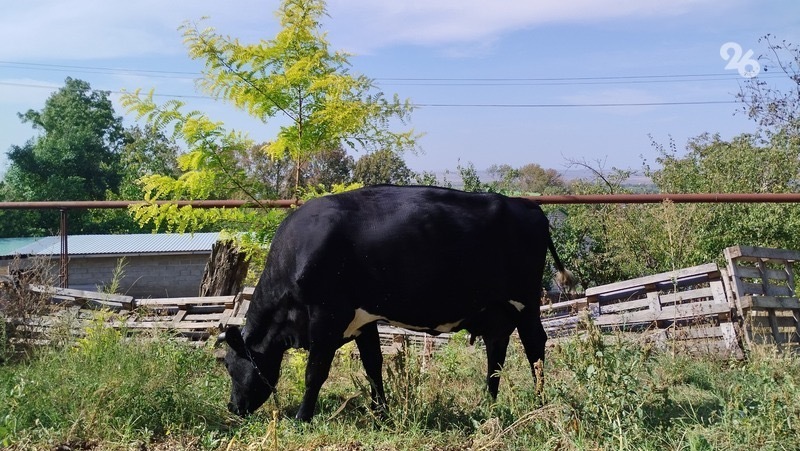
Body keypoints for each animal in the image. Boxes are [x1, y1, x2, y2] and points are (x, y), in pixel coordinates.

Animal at [216, 185, 572, 422]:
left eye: (231, 366)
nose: (233, 408)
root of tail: (528, 206)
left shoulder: (326, 318)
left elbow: (315, 372)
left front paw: (302, 418)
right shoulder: (363, 320)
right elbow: (373, 366)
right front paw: (381, 413)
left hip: (526, 302)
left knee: (535, 346)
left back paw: (540, 403)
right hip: (498, 312)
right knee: (496, 352)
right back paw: (488, 405)